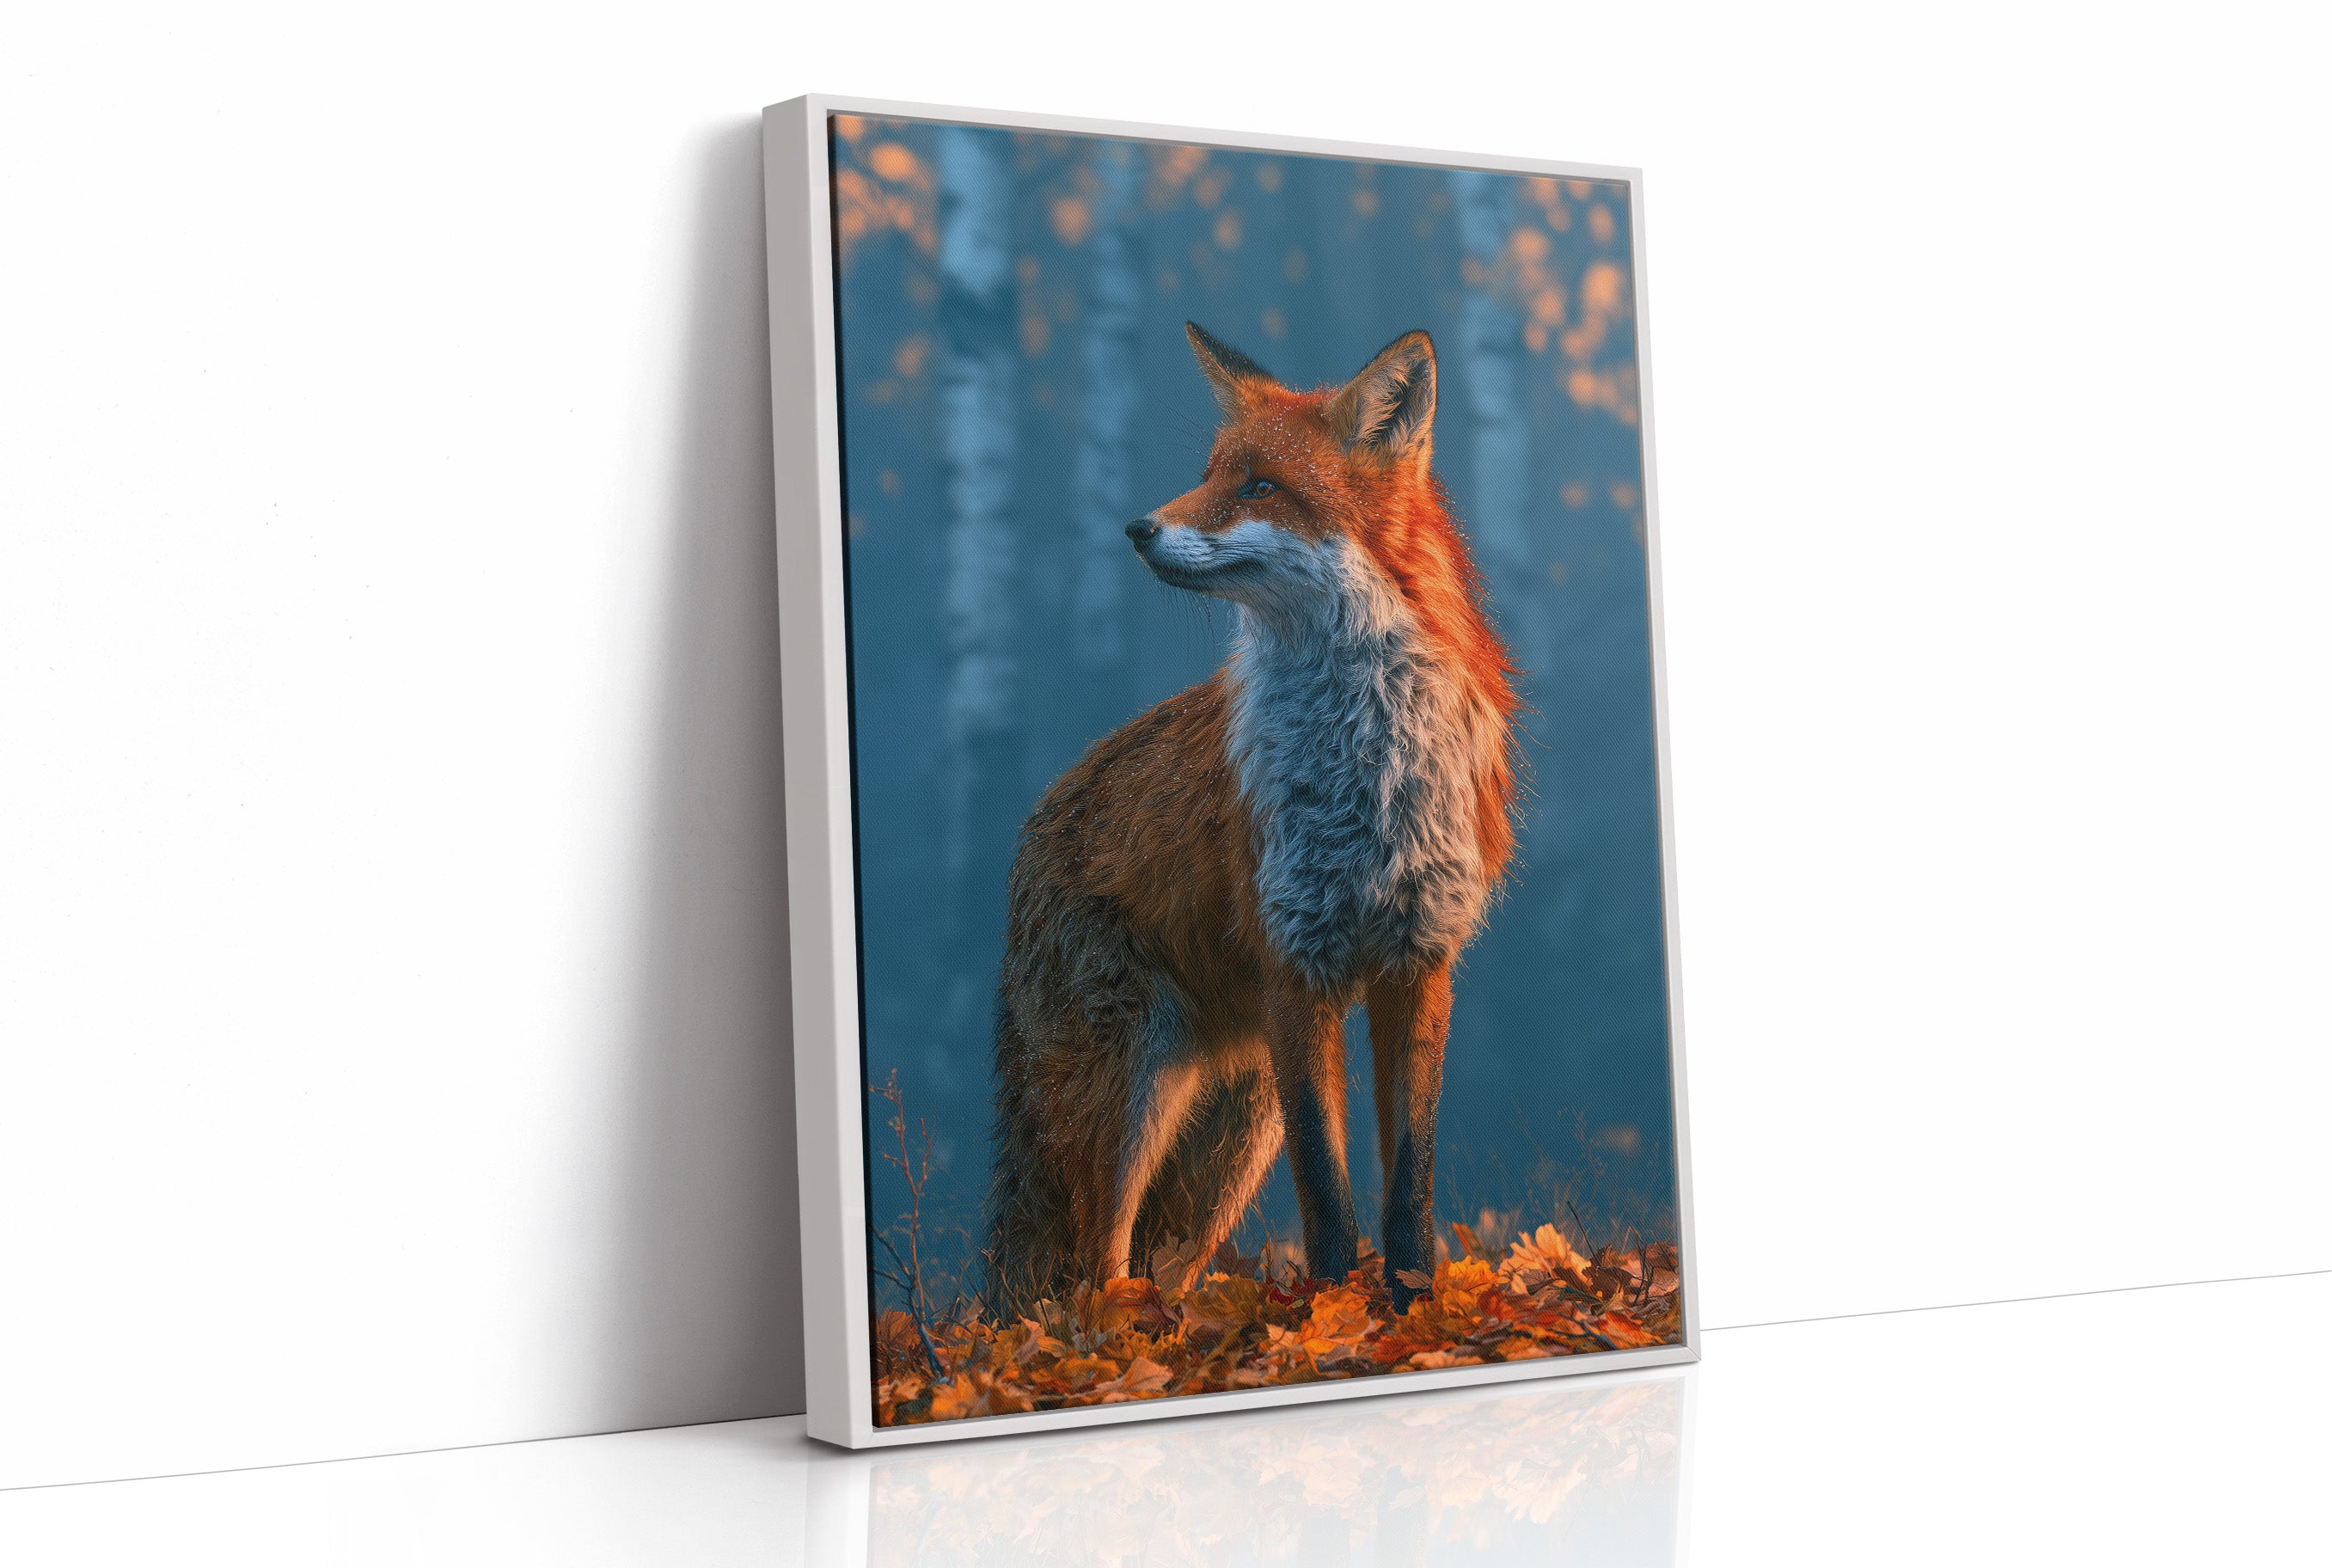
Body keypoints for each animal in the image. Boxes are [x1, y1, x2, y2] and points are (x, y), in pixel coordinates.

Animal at [982, 323, 1520, 1315]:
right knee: (1092, 1270)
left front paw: (1410, 1314)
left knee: (1153, 1265)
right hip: (1128, 1096)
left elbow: (1408, 1185)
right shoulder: (1294, 965)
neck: (1359, 772)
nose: (1136, 528)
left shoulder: (1418, 960)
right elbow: (1327, 1193)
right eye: (1208, 474)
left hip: (1228, 1141)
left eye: (1259, 486)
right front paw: (1334, 1320)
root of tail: (1038, 816)